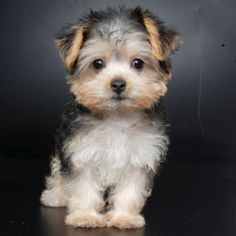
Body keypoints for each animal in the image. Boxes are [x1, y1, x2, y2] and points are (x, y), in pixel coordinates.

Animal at [40, 6, 181, 229]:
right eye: (98, 63)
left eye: (138, 63)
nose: (118, 84)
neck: (118, 117)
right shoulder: (81, 152)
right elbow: (83, 186)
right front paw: (85, 216)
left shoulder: (140, 156)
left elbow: (131, 190)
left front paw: (125, 217)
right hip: (60, 148)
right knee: (57, 171)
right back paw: (55, 195)